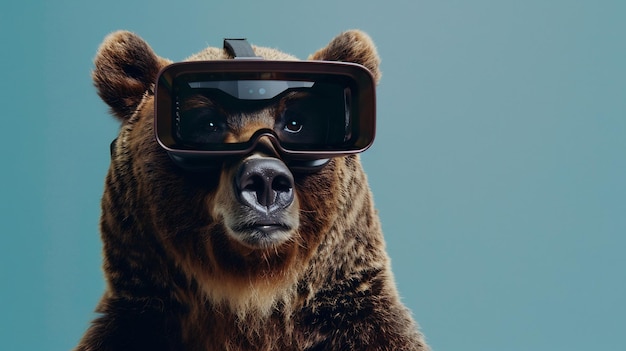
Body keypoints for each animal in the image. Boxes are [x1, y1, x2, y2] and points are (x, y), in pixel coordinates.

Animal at [77, 31, 428, 351]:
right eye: (207, 124)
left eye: (296, 123)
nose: (265, 179)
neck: (251, 293)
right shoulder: (141, 322)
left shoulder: (360, 320)